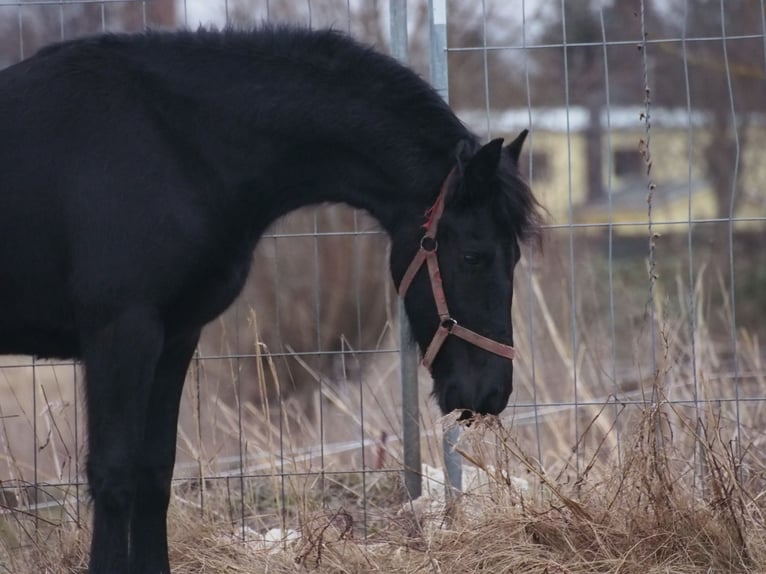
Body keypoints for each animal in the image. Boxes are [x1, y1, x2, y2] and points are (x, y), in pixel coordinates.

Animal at [0, 25, 540, 574]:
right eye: (474, 256)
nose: (491, 393)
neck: (172, 144)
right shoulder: (120, 333)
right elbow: (114, 476)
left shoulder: (174, 337)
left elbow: (154, 472)